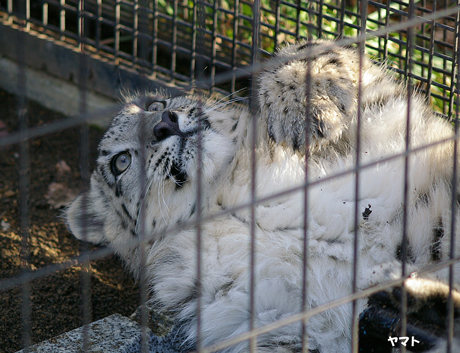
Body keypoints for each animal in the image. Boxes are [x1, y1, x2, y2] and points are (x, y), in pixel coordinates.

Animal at [64, 40, 460, 350]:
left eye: (154, 104)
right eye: (120, 162)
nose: (165, 124)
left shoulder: (390, 121)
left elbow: (315, 49)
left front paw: (301, 113)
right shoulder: (280, 319)